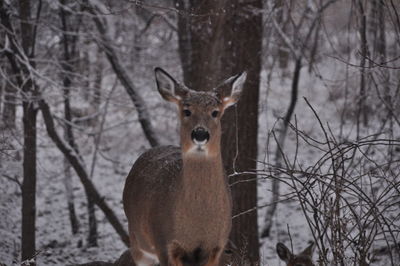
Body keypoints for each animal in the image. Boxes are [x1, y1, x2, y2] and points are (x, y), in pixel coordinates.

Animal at [122, 67, 247, 266]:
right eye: (187, 111)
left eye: (215, 112)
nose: (200, 134)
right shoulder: (164, 242)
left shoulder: (216, 248)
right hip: (138, 242)